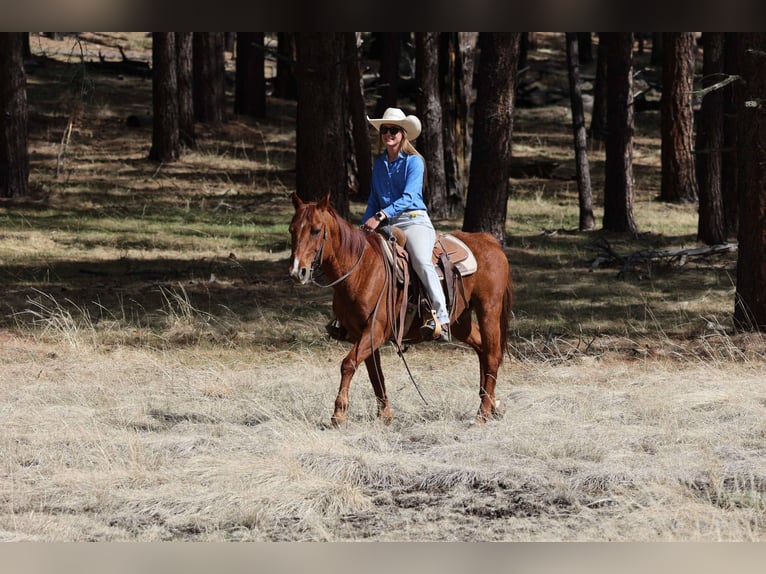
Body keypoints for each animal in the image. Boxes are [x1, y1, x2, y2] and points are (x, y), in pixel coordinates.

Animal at [288, 192, 513, 426]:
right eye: (292, 229)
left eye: (316, 230)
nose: (297, 271)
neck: (361, 271)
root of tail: (490, 242)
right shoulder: (362, 335)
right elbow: (375, 373)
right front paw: (384, 415)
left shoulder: (376, 330)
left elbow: (348, 364)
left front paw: (338, 414)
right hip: (461, 321)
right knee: (482, 350)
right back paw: (493, 404)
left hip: (489, 309)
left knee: (492, 355)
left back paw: (482, 413)